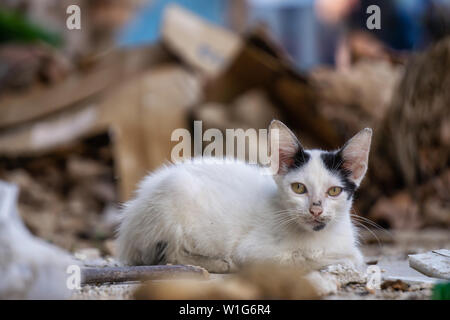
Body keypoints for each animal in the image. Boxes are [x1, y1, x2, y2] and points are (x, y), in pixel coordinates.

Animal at [116, 120, 372, 272]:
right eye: (299, 188)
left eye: (334, 191)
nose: (316, 210)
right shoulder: (254, 253)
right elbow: (302, 259)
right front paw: (336, 258)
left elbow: (355, 257)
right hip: (175, 193)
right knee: (169, 254)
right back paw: (219, 264)